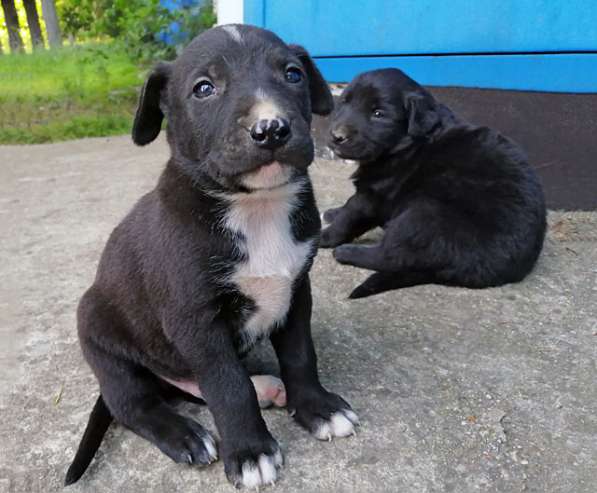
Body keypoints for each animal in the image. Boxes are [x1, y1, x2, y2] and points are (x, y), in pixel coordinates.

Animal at [65, 25, 356, 486]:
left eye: (292, 74)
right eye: (204, 88)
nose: (271, 128)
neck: (255, 208)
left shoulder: (296, 291)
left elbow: (300, 355)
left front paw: (317, 407)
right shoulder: (197, 321)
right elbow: (227, 385)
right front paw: (251, 451)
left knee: (188, 384)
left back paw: (265, 387)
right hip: (100, 337)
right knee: (133, 404)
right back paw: (184, 434)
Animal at [322, 68, 544, 298]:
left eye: (378, 114)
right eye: (344, 102)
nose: (336, 136)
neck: (404, 145)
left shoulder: (372, 194)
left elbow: (350, 214)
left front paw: (323, 236)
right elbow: (348, 206)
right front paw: (332, 213)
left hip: (422, 212)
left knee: (392, 257)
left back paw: (347, 252)